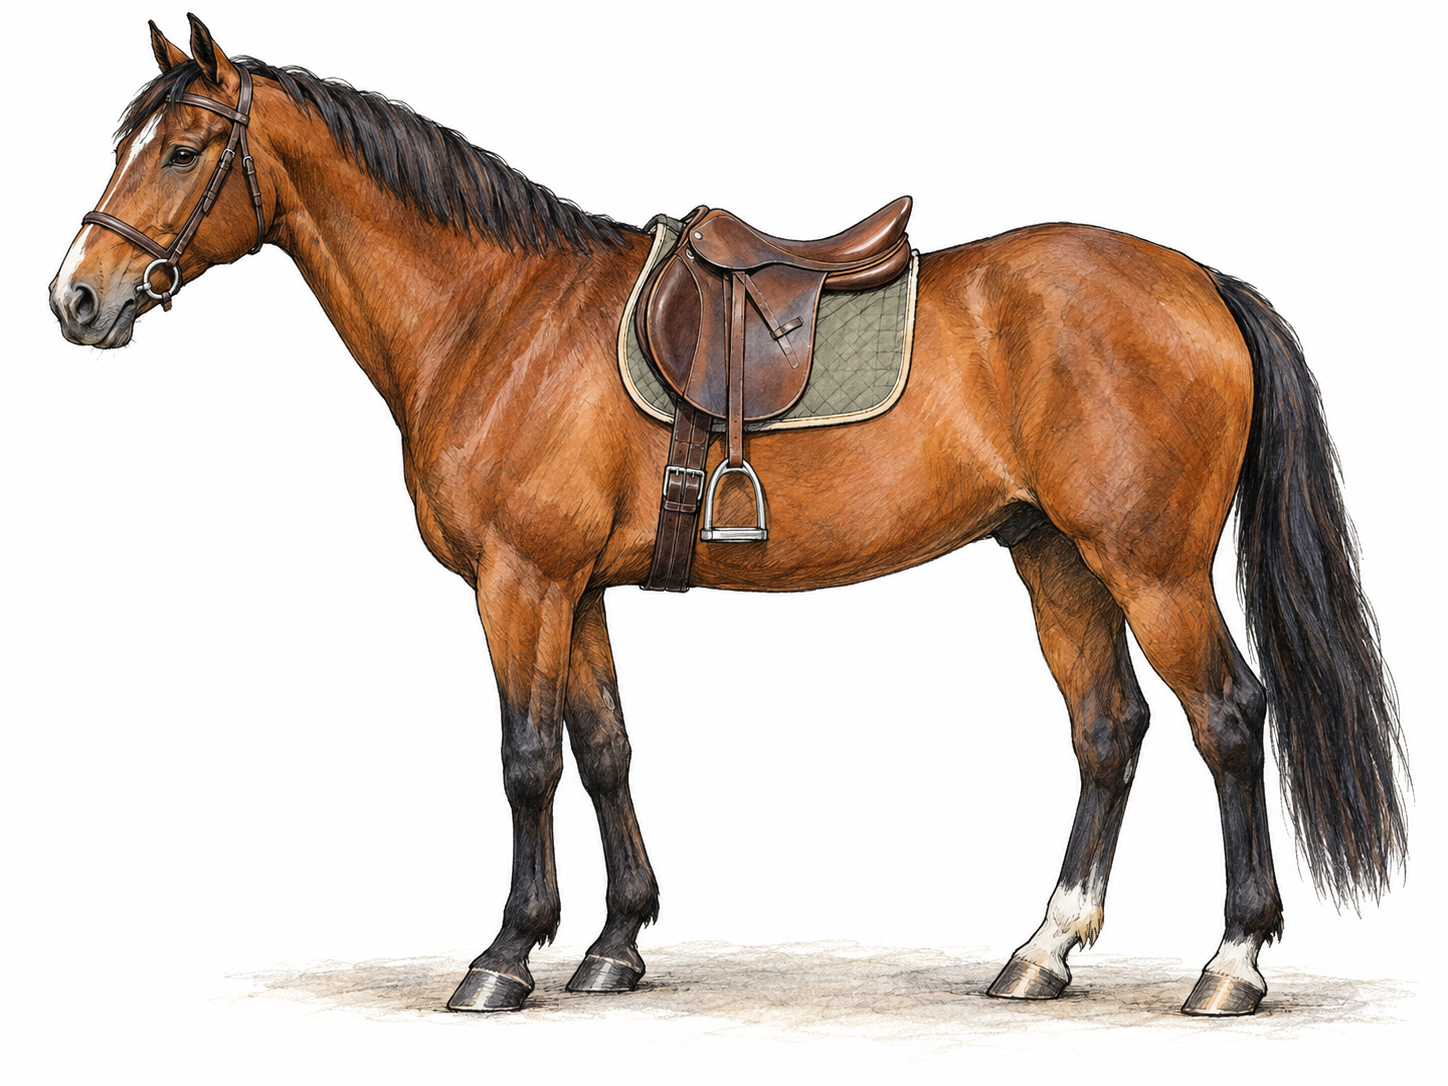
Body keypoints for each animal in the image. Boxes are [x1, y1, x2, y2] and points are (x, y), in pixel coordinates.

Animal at [49, 16, 1406, 1017]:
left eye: (182, 150)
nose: (77, 298)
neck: (495, 315)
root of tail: (1198, 283)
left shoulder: (517, 582)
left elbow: (525, 761)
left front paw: (504, 957)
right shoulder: (576, 590)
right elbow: (603, 749)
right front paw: (613, 945)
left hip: (1150, 565)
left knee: (1225, 719)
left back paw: (1229, 964)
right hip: (1056, 561)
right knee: (1106, 730)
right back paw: (1040, 950)